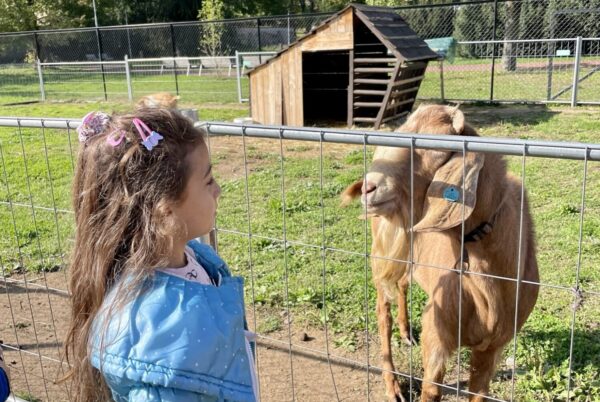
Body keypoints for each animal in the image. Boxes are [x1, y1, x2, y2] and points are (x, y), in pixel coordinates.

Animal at [340, 104, 540, 402]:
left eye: (437, 147)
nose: (369, 188)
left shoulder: (493, 346)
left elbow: (479, 393)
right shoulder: (436, 335)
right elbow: (431, 390)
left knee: (402, 284)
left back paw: (406, 331)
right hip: (381, 255)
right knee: (382, 312)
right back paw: (393, 385)